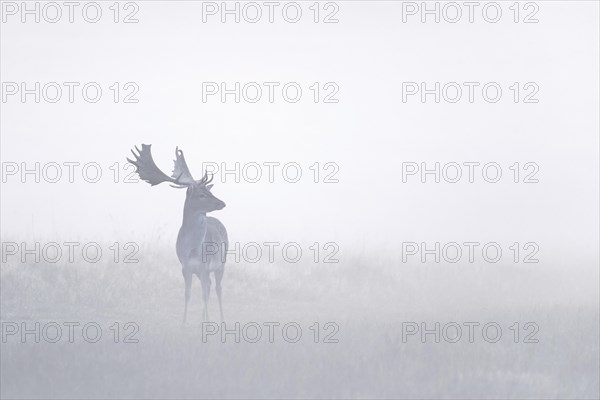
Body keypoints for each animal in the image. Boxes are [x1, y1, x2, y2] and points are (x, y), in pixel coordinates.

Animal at [127, 145, 229, 324]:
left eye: (209, 192)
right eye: (202, 195)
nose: (222, 203)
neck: (192, 248)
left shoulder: (204, 266)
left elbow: (203, 294)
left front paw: (207, 322)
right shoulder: (185, 267)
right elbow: (187, 294)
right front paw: (183, 323)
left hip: (221, 263)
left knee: (218, 288)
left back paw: (221, 320)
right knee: (210, 286)